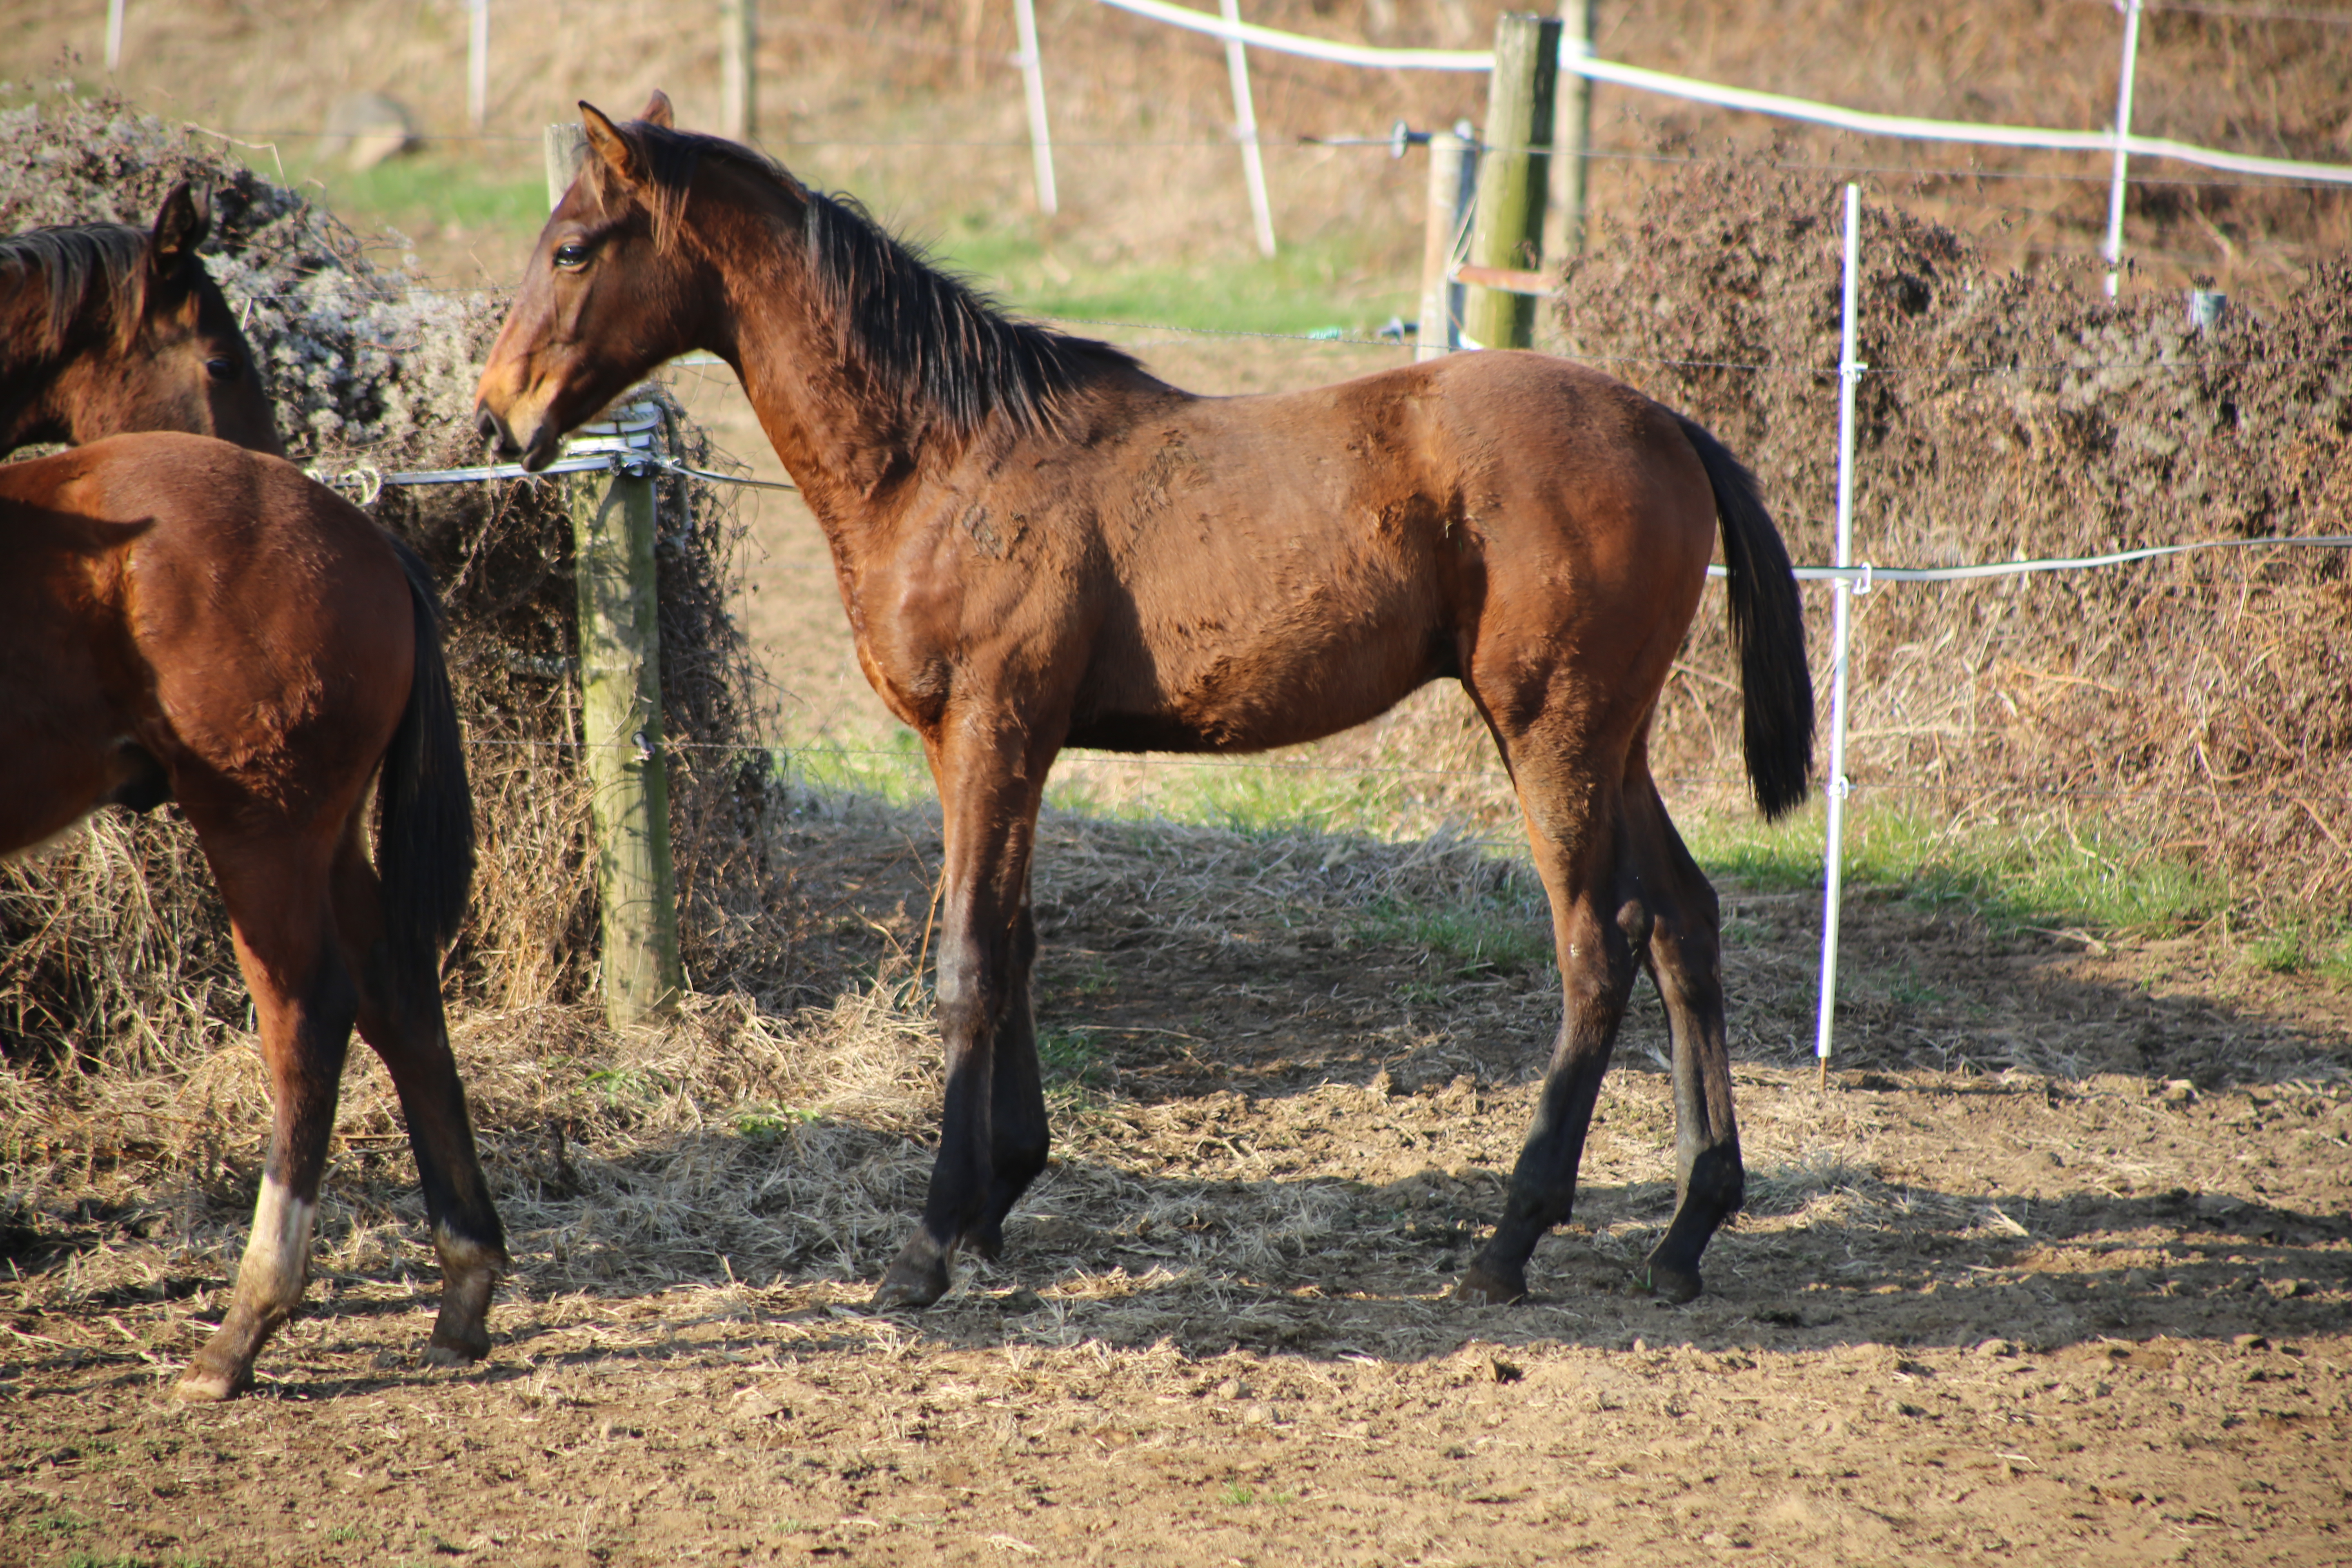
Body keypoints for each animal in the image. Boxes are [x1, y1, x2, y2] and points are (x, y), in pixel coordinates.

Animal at [2, 430, 501, 1401]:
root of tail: (364, 534)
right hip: (328, 841)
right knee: (402, 1006)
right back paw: (463, 1289)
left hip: (262, 837)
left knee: (307, 1021)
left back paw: (245, 1324)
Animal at [468, 98, 1806, 1316]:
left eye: (574, 247)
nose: (497, 413)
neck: (946, 456)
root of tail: (1665, 422)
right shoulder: (987, 746)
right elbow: (1012, 941)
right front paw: (1000, 1192)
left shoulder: (991, 729)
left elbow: (967, 961)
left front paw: (928, 1244)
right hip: (1613, 739)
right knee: (1684, 921)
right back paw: (1686, 1228)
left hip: (1550, 730)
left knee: (1597, 943)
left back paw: (1509, 1240)